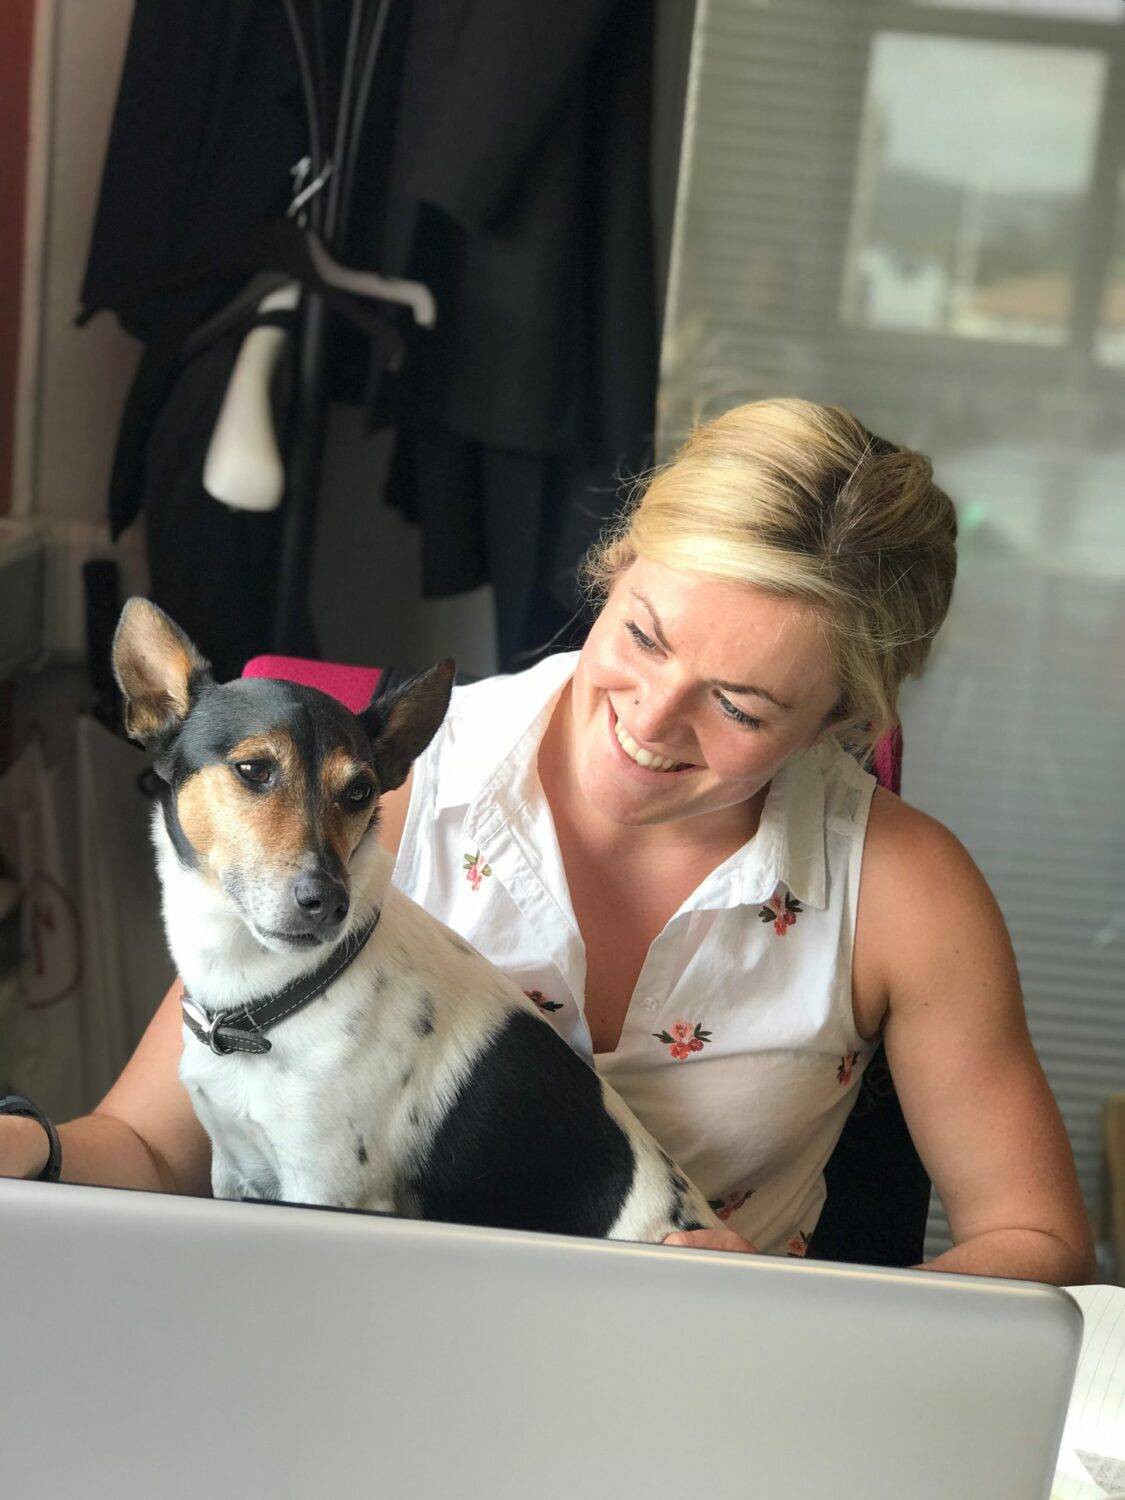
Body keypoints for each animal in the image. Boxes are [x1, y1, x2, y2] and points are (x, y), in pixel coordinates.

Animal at [112, 597, 723, 1242]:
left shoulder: (324, 1191)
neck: (267, 999)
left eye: (360, 792)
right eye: (253, 769)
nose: (328, 901)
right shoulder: (230, 1169)